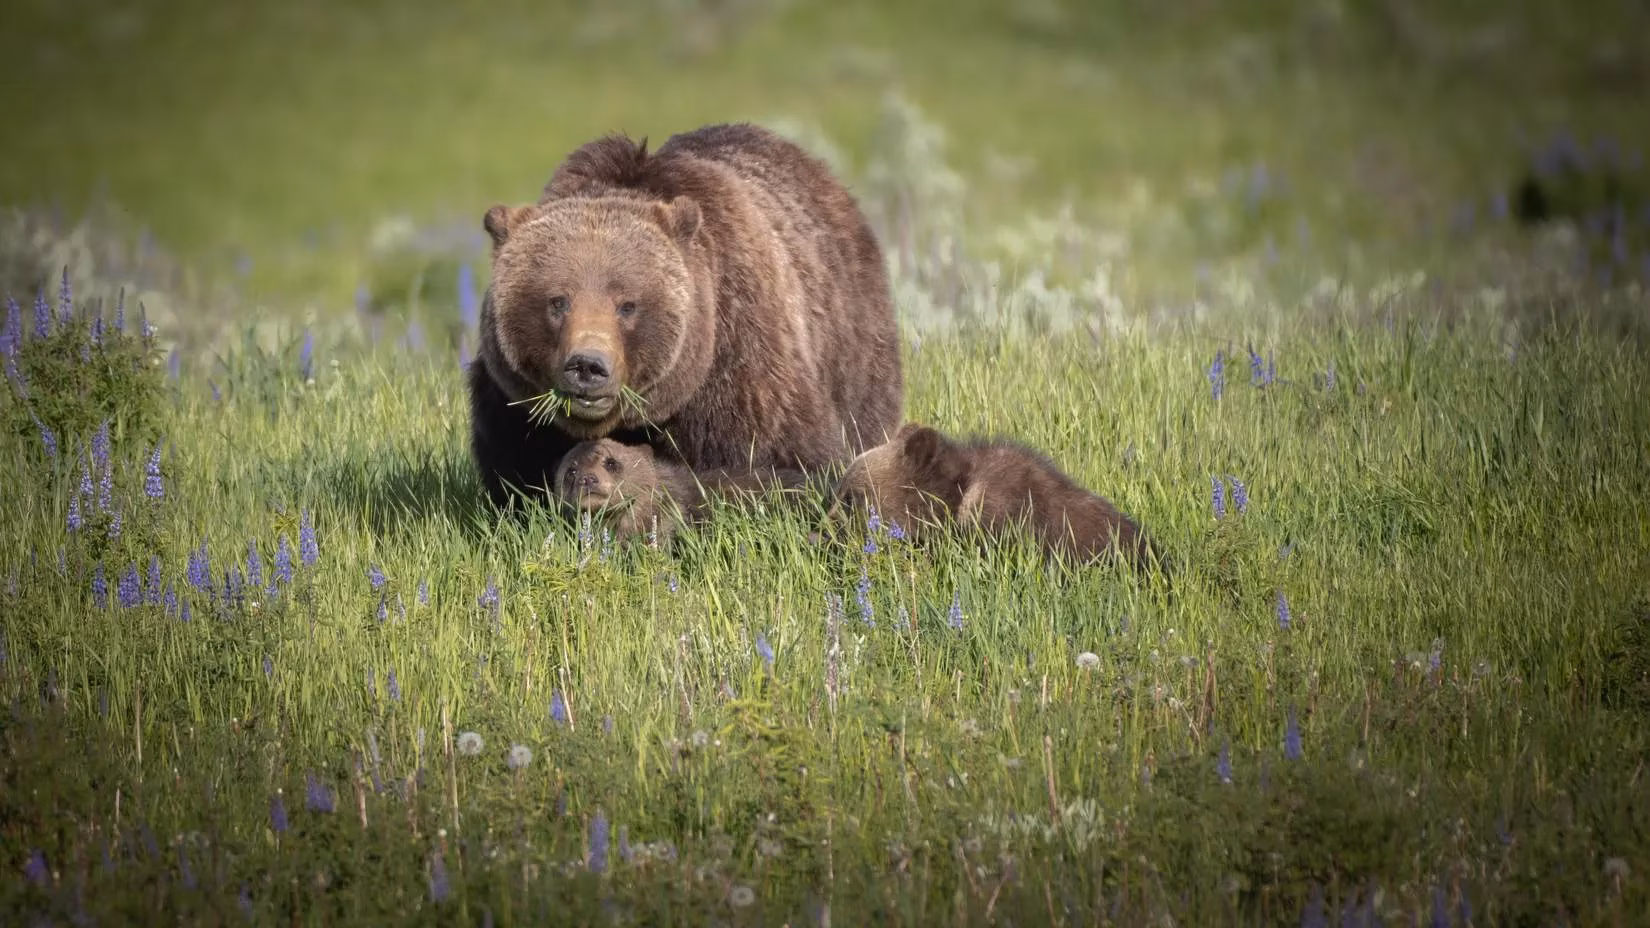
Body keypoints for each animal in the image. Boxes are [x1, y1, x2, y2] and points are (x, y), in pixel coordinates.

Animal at [467, 122, 903, 512]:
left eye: (627, 304)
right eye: (558, 301)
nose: (588, 366)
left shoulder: (737, 370)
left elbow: (786, 464)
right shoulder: (514, 409)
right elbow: (518, 478)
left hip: (854, 350)